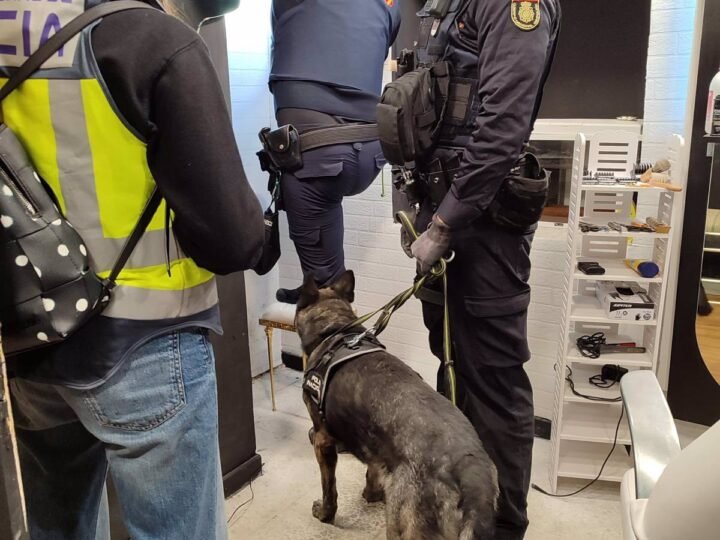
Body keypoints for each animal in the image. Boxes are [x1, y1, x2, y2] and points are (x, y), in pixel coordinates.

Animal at [296, 272, 498, 536]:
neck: (335, 329)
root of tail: (468, 472)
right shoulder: (375, 446)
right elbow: (373, 471)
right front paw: (371, 494)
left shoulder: (323, 440)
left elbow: (329, 488)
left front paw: (324, 514)